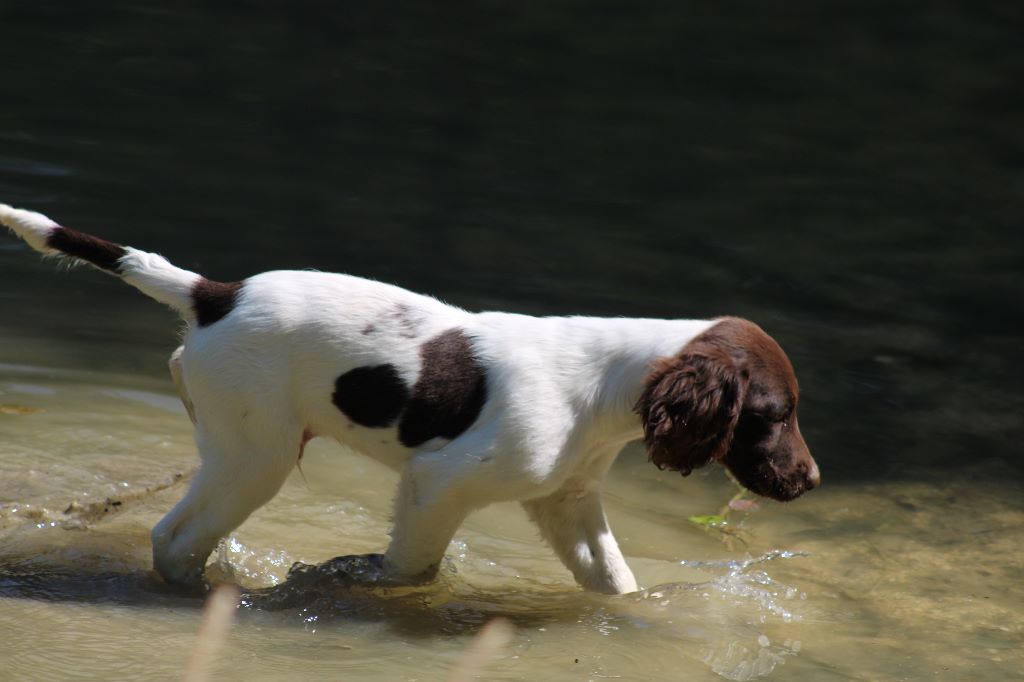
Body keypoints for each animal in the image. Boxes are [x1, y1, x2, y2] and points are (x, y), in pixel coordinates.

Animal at [0, 204, 815, 593]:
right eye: (775, 416)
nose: (810, 481)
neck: (604, 387)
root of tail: (215, 294)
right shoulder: (438, 485)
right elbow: (410, 570)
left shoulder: (567, 502)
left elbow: (616, 582)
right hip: (253, 454)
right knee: (174, 539)